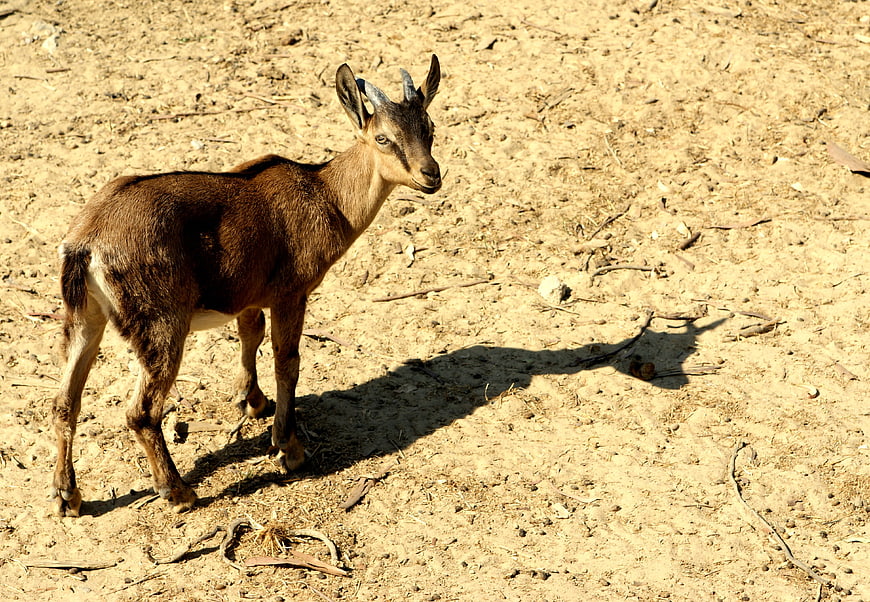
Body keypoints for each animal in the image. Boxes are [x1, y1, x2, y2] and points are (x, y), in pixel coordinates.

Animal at [50, 55, 442, 517]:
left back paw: (67, 496)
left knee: (64, 400)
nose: (431, 175)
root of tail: (85, 241)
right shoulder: (292, 291)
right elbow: (287, 361)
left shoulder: (251, 293)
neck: (327, 196)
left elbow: (249, 335)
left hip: (84, 317)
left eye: (430, 128)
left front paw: (252, 401)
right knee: (141, 412)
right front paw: (289, 448)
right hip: (160, 322)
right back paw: (178, 492)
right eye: (383, 138)